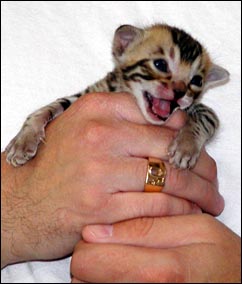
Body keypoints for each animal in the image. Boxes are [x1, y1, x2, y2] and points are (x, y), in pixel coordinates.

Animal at [5, 24, 229, 169]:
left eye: (197, 81)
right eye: (160, 64)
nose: (180, 91)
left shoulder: (201, 109)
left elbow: (206, 118)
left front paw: (186, 146)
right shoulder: (87, 95)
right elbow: (47, 108)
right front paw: (23, 140)